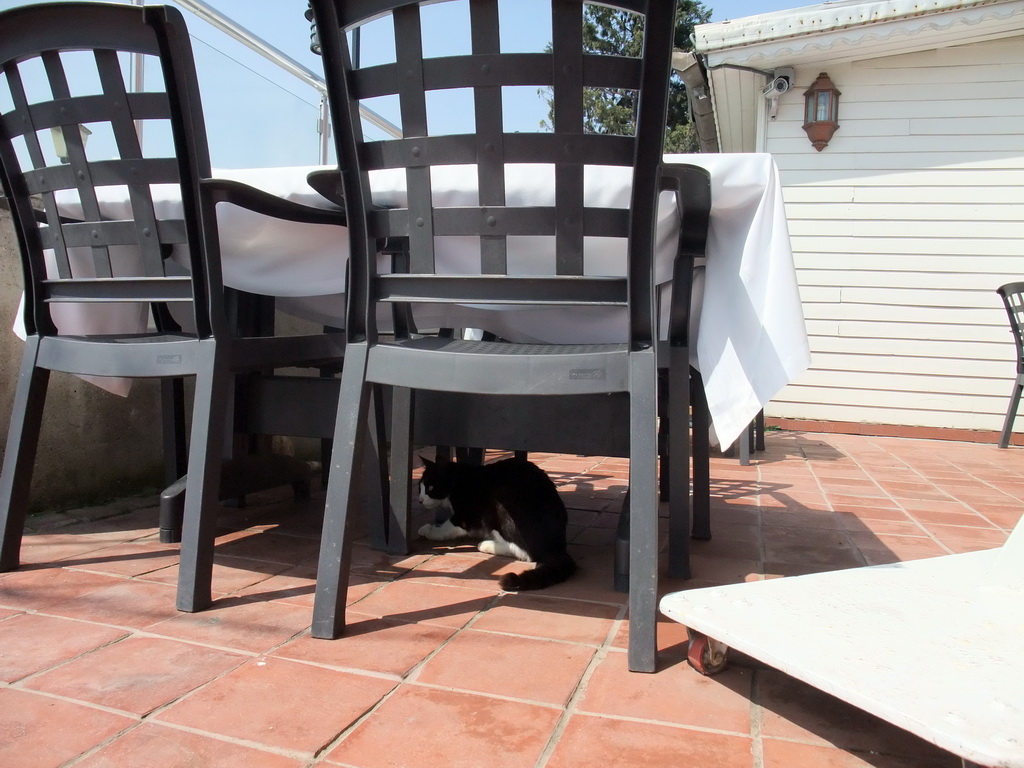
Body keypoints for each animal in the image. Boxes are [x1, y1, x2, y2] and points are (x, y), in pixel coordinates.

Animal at [415, 460, 577, 593]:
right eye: (420, 487)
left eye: (430, 487)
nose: (420, 500)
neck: (459, 479)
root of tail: (556, 548)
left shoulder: (465, 516)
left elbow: (447, 528)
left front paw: (428, 530)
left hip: (500, 504)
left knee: (525, 553)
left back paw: (487, 544)